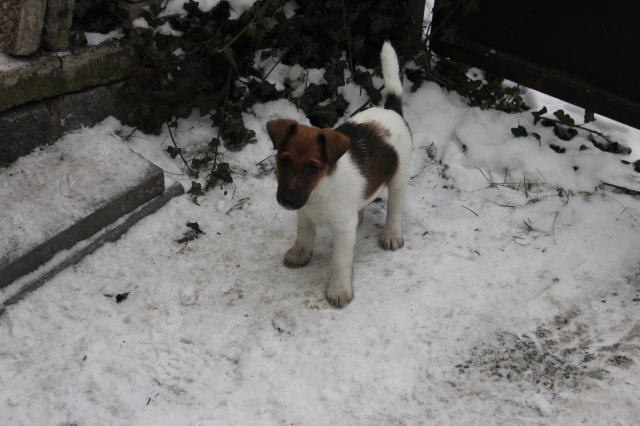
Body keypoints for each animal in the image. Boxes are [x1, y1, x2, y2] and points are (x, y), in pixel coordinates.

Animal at [266, 41, 412, 308]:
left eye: (313, 167)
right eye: (284, 160)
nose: (287, 200)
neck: (320, 190)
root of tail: (392, 111)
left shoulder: (343, 231)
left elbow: (339, 263)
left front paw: (339, 290)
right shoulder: (304, 213)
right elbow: (304, 236)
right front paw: (300, 254)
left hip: (399, 177)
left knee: (395, 210)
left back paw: (392, 235)